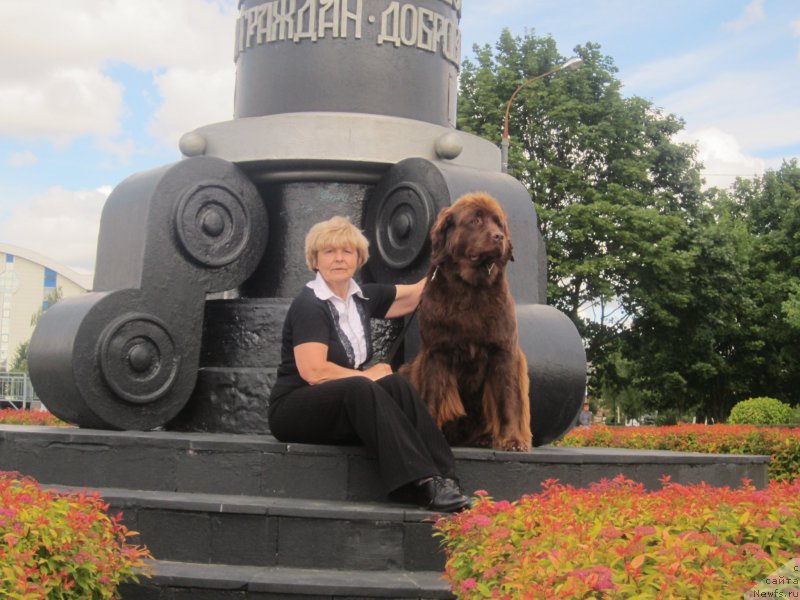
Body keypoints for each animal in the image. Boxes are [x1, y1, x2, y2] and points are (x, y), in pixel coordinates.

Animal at [400, 192, 532, 450]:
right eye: (475, 221)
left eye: (498, 223)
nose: (499, 236)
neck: (471, 288)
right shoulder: (436, 351)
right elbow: (432, 396)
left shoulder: (504, 350)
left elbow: (508, 399)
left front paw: (512, 440)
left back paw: (486, 438)